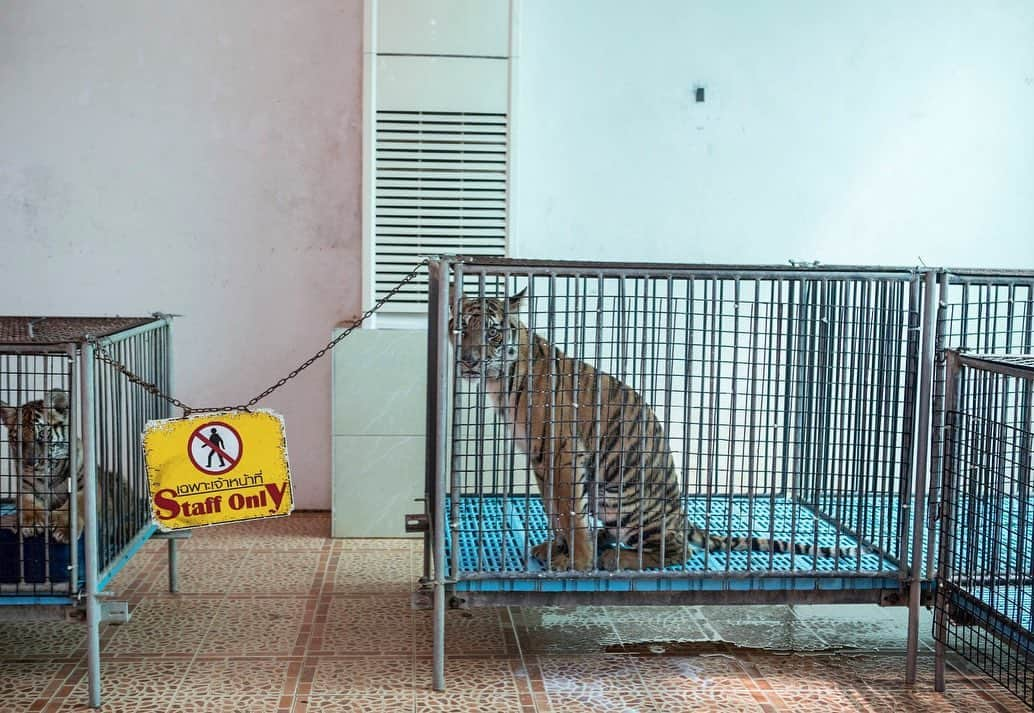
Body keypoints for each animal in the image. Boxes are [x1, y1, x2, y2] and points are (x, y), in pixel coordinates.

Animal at [448, 285, 860, 570]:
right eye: (460, 329)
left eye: (492, 333)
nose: (468, 361)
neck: (500, 382)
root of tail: (681, 512)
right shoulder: (540, 459)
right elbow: (557, 511)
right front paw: (558, 548)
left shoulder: (563, 452)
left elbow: (569, 513)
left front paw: (577, 560)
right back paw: (599, 543)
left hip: (622, 499)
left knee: (677, 549)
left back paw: (614, 558)